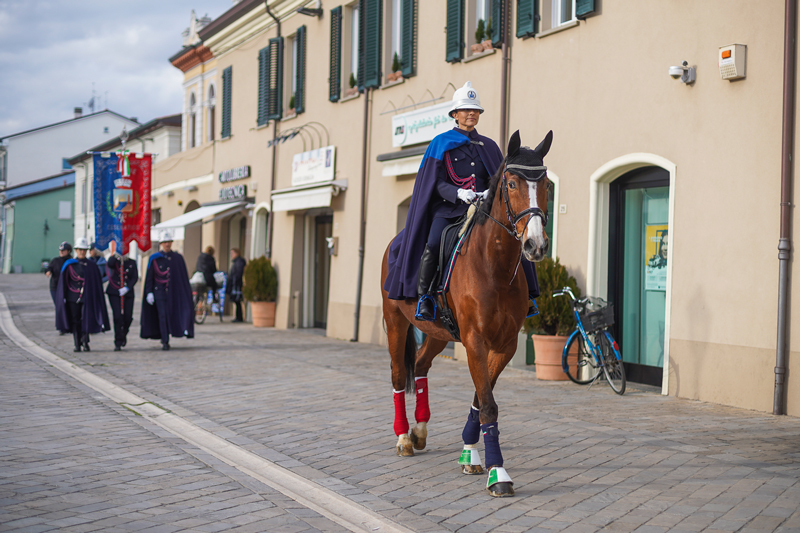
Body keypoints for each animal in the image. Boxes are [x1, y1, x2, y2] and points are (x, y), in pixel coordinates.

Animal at [382, 131, 552, 496]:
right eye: (512, 183)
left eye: (545, 183)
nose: (536, 245)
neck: (494, 266)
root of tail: (397, 240)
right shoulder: (475, 341)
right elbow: (487, 403)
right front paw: (498, 473)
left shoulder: (504, 345)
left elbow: (480, 398)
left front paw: (470, 453)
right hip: (395, 322)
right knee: (398, 375)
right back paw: (403, 437)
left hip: (437, 331)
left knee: (420, 365)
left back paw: (419, 431)